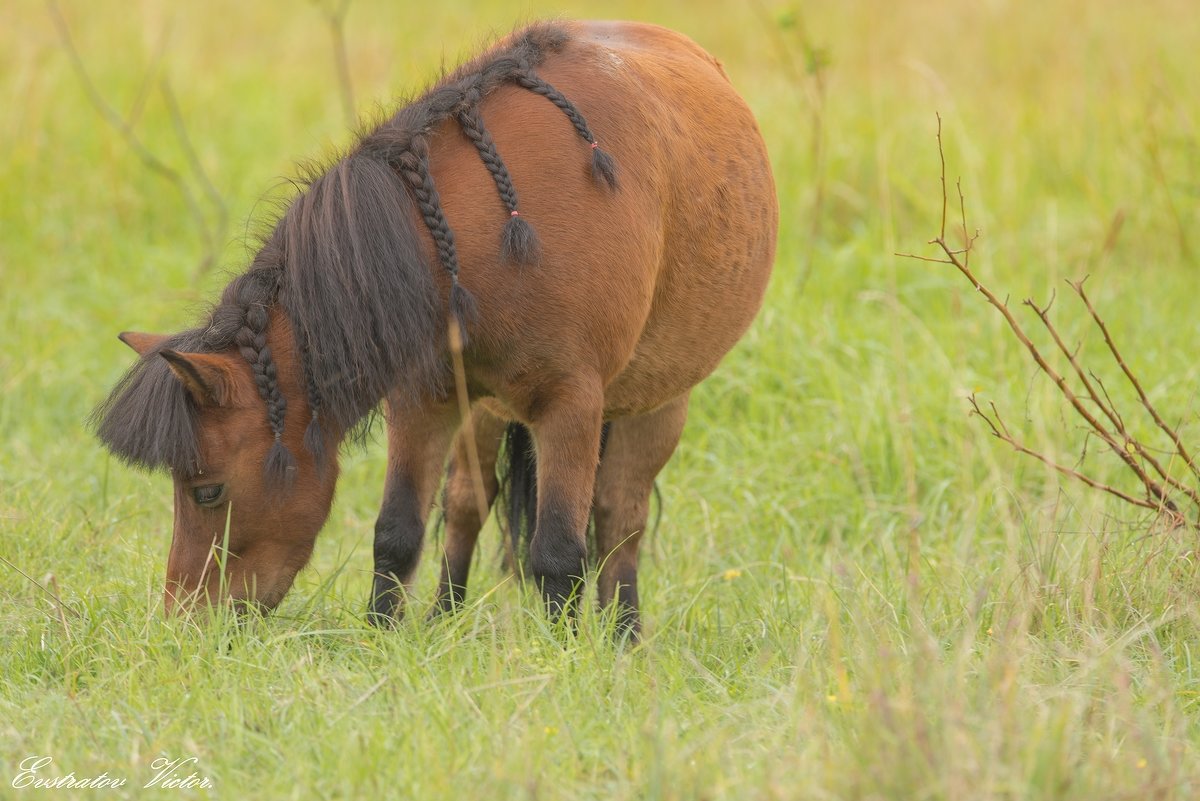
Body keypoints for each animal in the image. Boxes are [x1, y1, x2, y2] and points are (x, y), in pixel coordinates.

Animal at [93, 18, 777, 633]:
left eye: (207, 491)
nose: (184, 623)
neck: (491, 242)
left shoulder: (573, 404)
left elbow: (560, 551)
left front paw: (562, 658)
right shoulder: (423, 399)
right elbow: (397, 531)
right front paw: (384, 637)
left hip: (655, 405)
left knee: (617, 521)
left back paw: (624, 639)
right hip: (487, 409)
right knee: (469, 503)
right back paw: (445, 618)